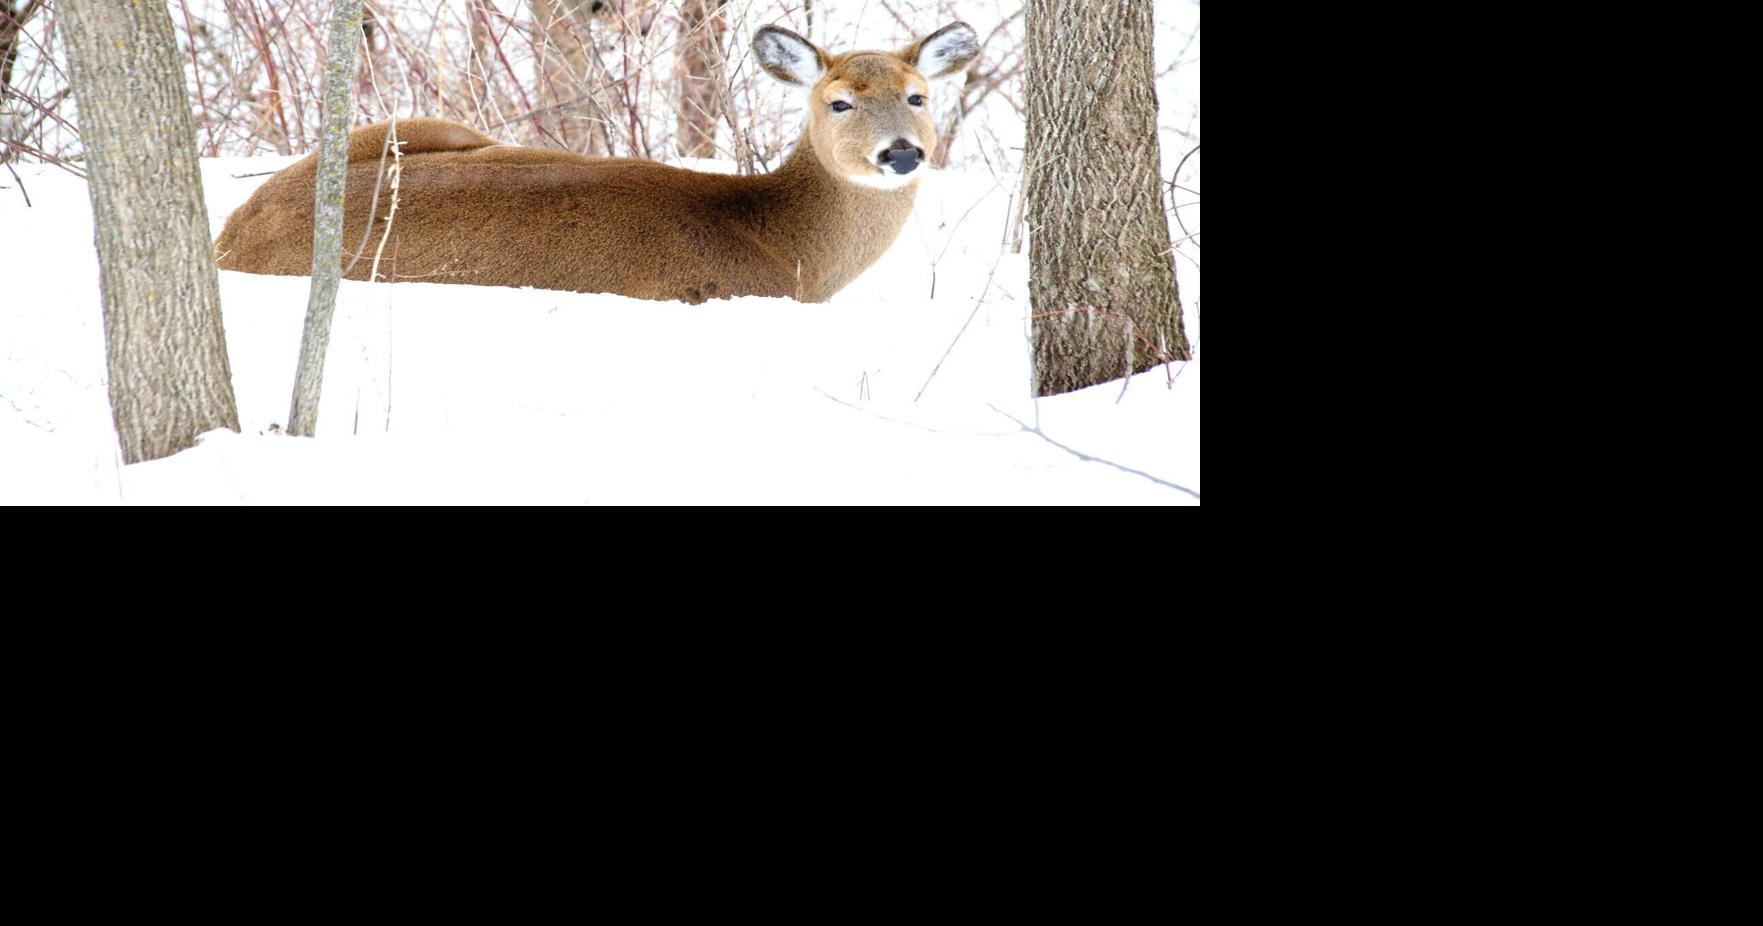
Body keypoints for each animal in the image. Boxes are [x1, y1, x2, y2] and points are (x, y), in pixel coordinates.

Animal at [213, 21, 981, 304]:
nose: (902, 151)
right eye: (839, 102)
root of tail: (227, 237)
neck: (787, 247)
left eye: (917, 95)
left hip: (411, 126)